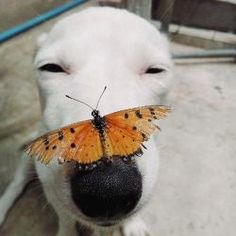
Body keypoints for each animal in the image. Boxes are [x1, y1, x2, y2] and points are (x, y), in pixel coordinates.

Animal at [0, 6, 171, 235]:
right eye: (51, 67)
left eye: (155, 70)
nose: (108, 189)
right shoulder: (51, 188)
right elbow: (65, 219)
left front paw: (134, 224)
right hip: (30, 160)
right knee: (17, 183)